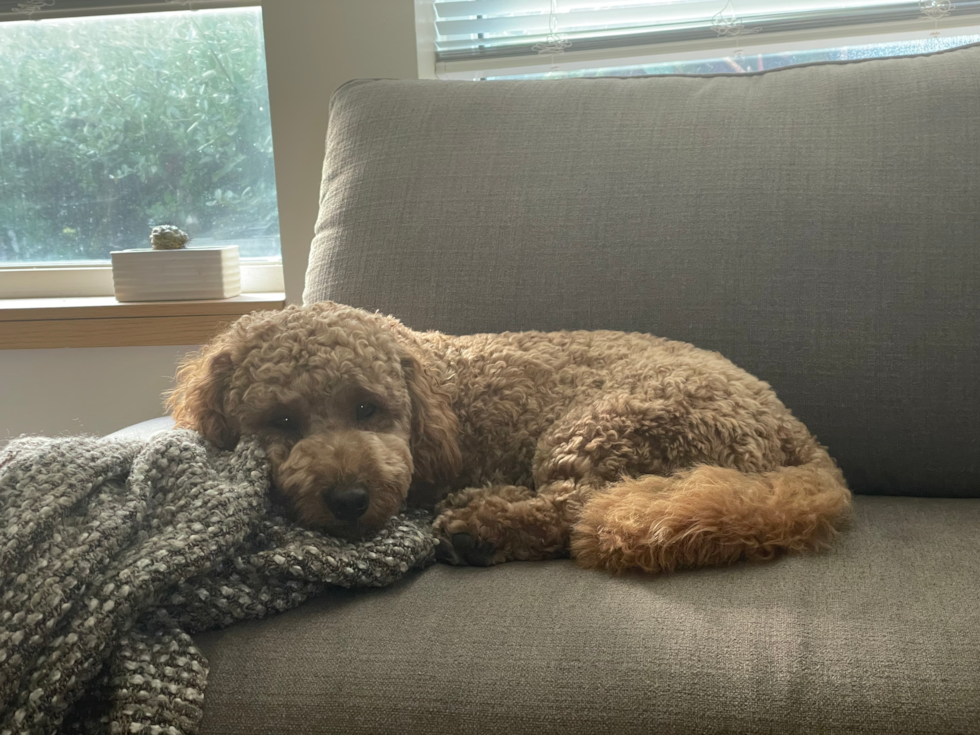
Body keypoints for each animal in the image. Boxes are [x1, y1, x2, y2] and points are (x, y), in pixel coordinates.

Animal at [168, 300, 848, 576]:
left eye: (368, 408)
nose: (348, 500)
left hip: (605, 423)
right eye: (281, 422)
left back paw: (481, 528)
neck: (436, 387)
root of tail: (796, 432)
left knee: (574, 508)